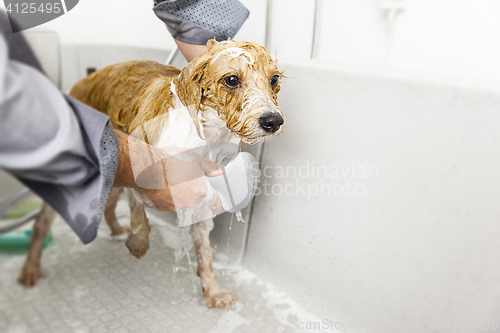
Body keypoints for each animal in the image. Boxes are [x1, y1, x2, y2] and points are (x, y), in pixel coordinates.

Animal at [18, 40, 286, 308]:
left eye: (273, 79)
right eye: (231, 80)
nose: (272, 121)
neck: (205, 137)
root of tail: (80, 84)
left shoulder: (203, 198)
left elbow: (204, 252)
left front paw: (213, 291)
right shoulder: (139, 158)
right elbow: (139, 214)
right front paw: (138, 243)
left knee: (109, 204)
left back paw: (116, 231)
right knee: (42, 223)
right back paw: (30, 270)